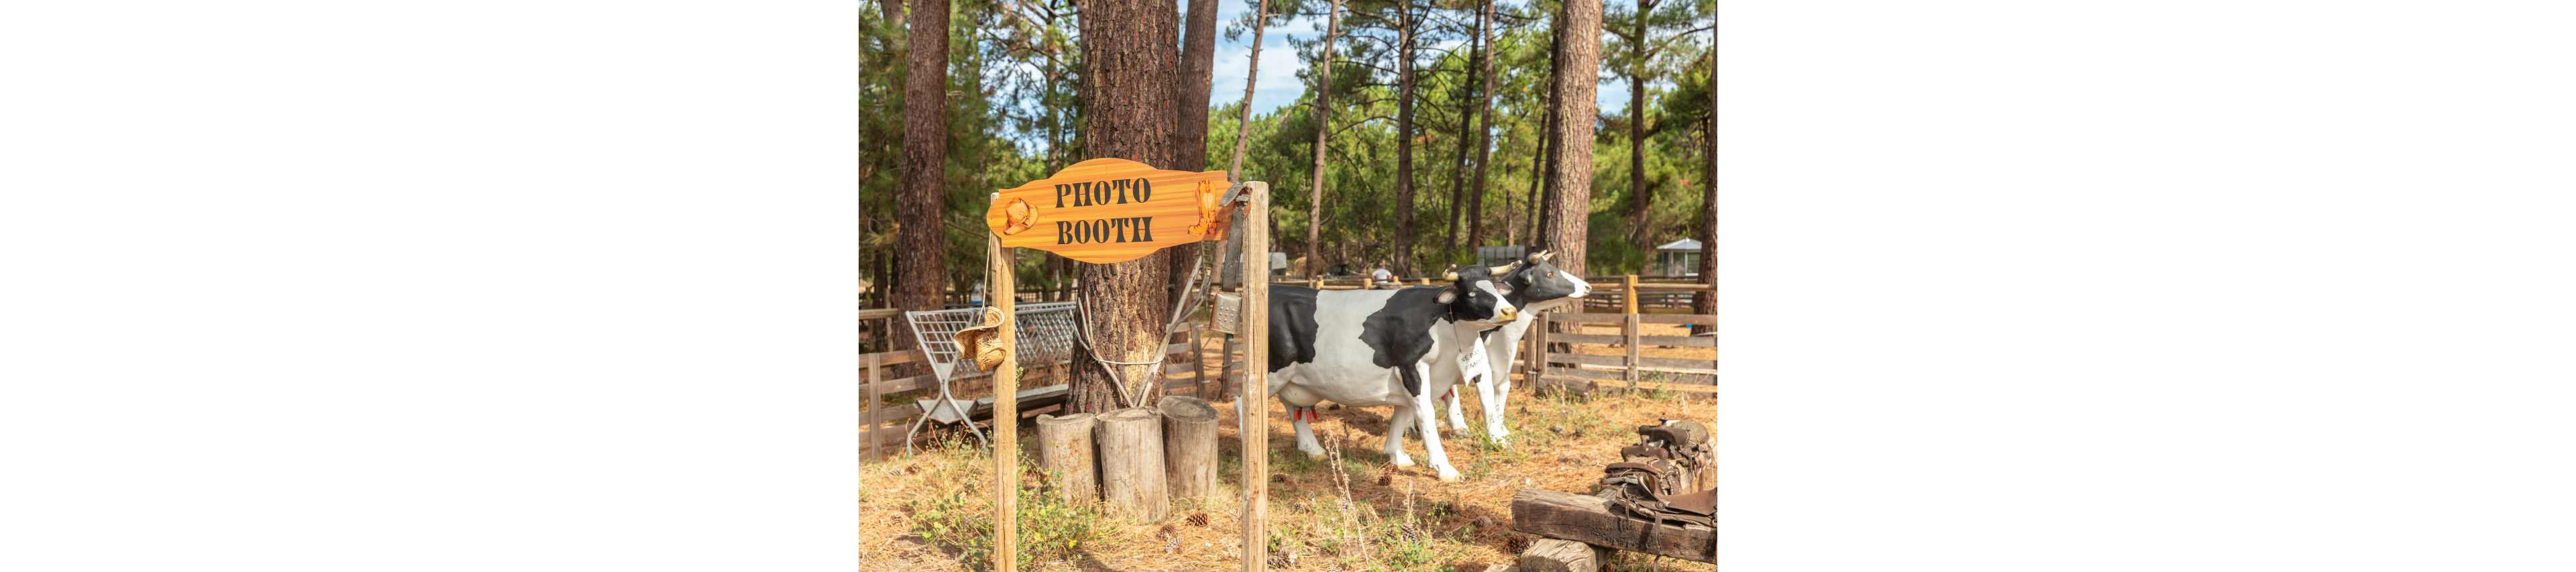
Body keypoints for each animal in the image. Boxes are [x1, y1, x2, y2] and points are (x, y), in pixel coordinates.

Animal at [1257, 265, 1519, 481]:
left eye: (1494, 287)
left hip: (1291, 378)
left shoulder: (1410, 376)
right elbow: (1425, 414)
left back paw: (1314, 450)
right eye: (1472, 293)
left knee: (1292, 407)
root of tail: (1275, 289)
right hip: (1271, 373)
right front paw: (1445, 469)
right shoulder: (1412, 366)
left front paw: (1397, 455)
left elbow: (1403, 412)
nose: (1510, 310)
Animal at [1438, 251, 1593, 444]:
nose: (1587, 287)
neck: (1501, 339)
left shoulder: (1505, 365)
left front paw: (1503, 430)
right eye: (1550, 274)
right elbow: (1485, 392)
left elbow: (1503, 389)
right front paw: (1495, 437)